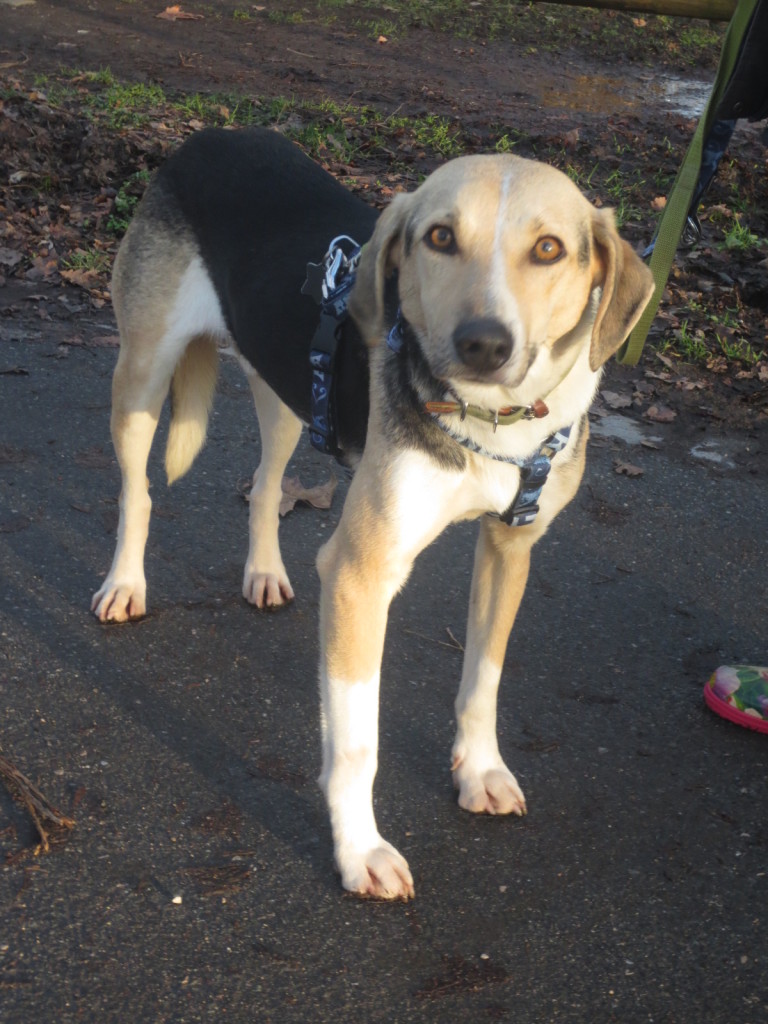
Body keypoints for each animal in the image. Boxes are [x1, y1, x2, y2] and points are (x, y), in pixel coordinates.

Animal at [92, 126, 653, 900]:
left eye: (549, 249)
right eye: (440, 236)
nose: (484, 343)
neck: (492, 421)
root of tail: (214, 134)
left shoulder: (510, 547)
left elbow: (483, 677)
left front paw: (479, 770)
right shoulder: (361, 577)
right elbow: (358, 743)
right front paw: (359, 850)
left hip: (290, 389)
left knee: (264, 487)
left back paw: (263, 572)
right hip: (143, 375)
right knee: (137, 492)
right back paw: (125, 584)